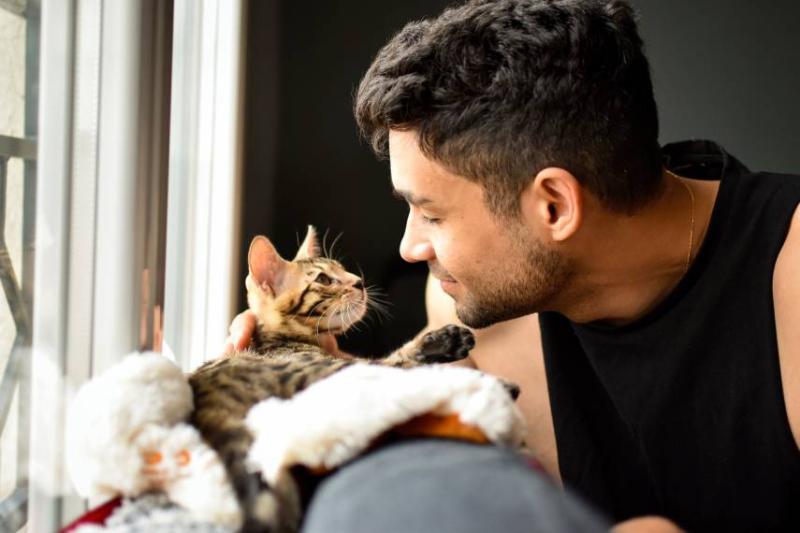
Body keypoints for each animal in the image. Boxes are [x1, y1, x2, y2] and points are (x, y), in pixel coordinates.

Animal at [188, 227, 476, 528]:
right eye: (324, 279)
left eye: (342, 268)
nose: (359, 282)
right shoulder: (337, 367)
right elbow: (392, 360)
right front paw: (440, 343)